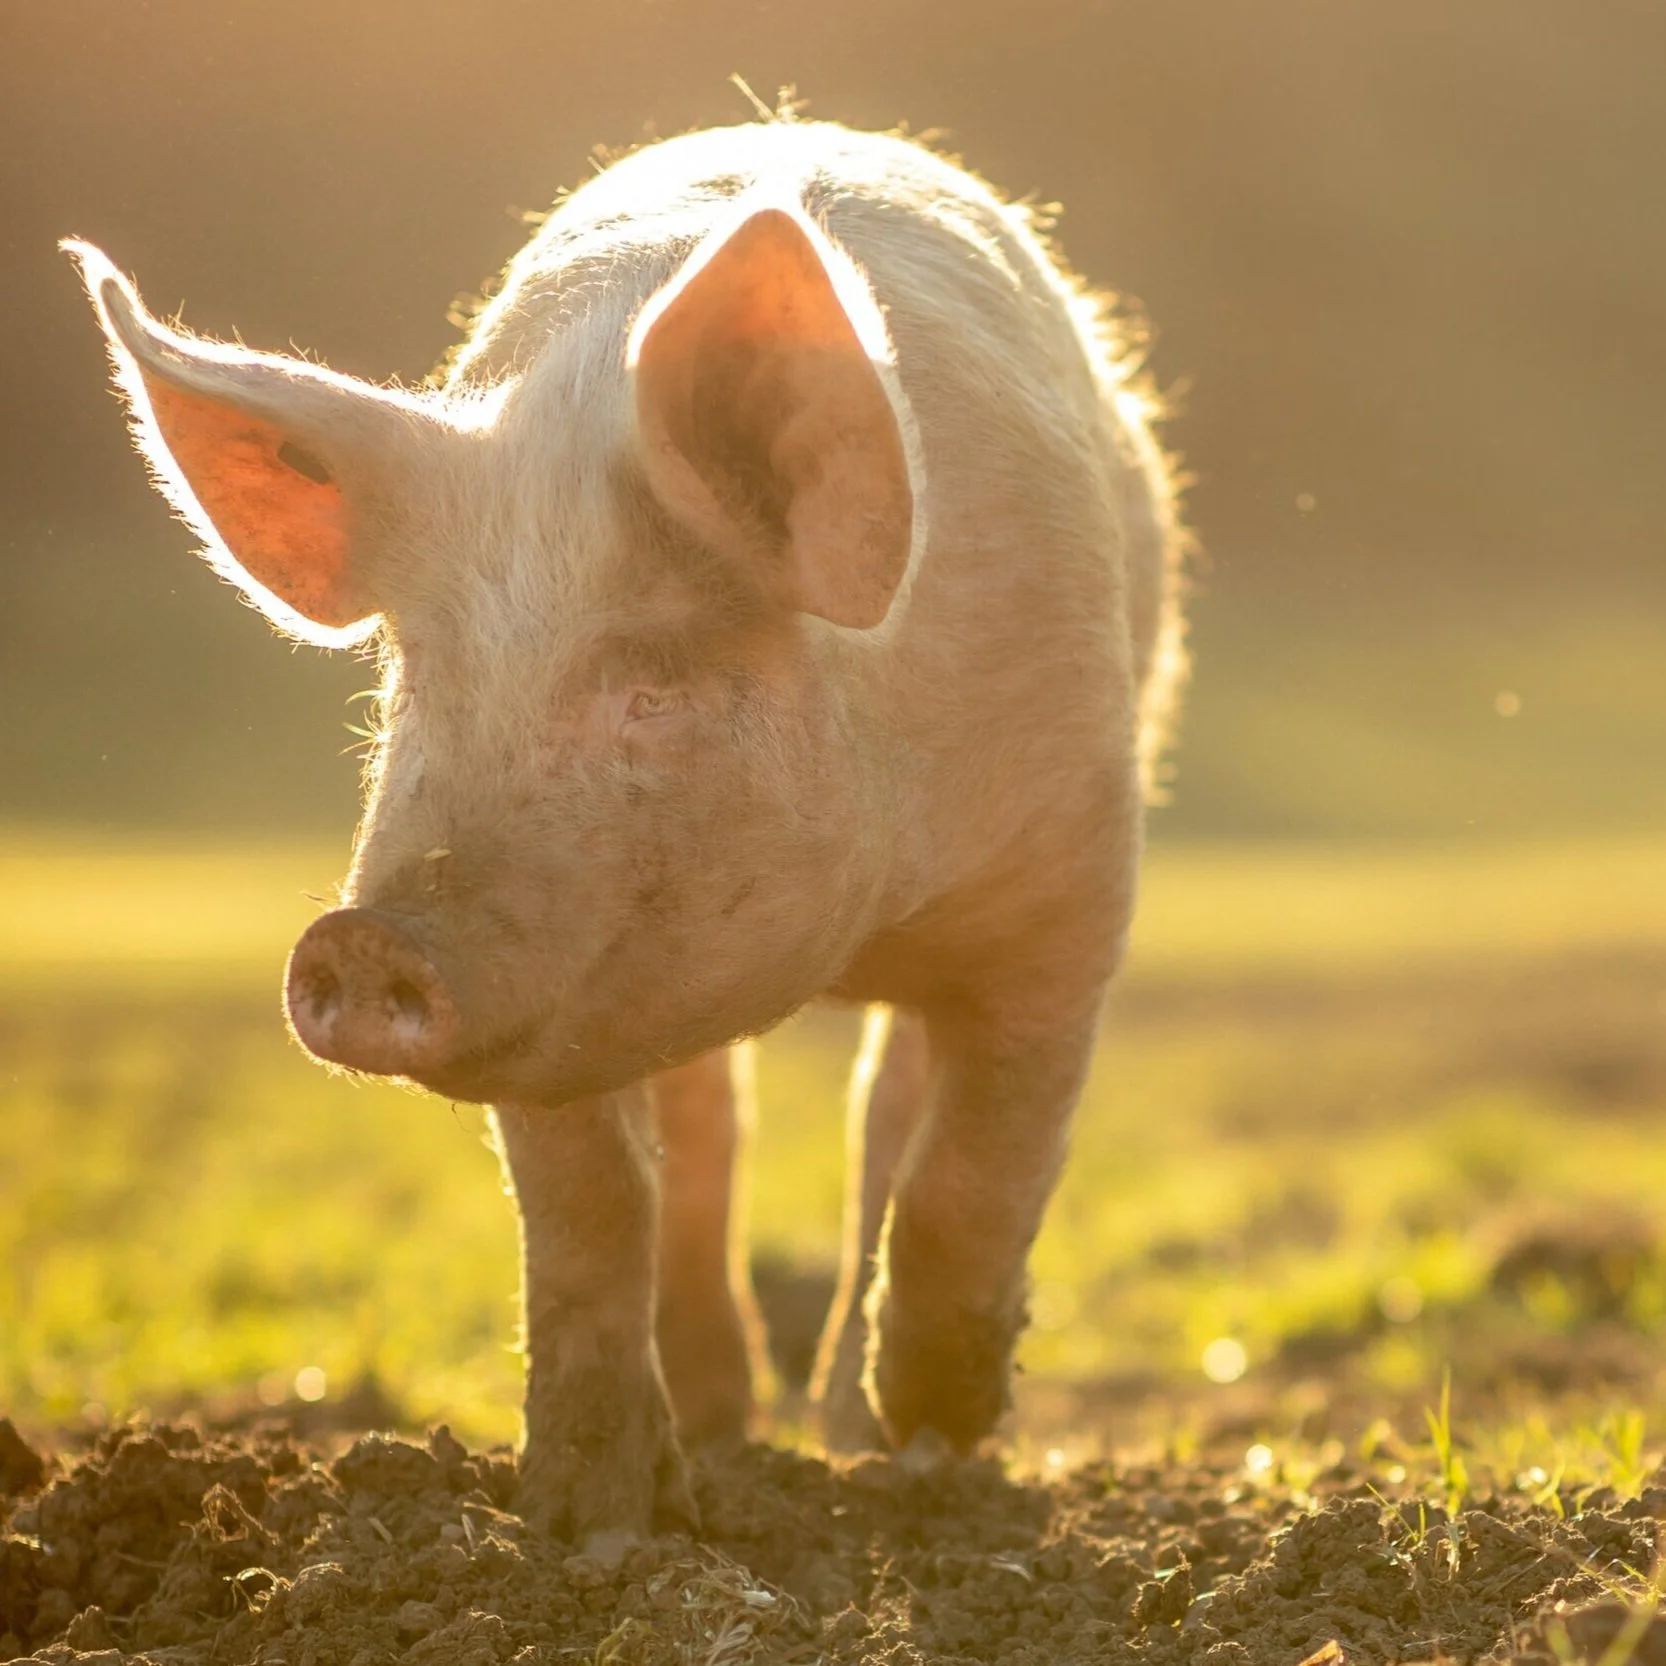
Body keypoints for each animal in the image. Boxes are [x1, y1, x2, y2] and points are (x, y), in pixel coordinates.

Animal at [69, 116, 1186, 1551]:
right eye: (418, 674)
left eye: (650, 686)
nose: (363, 938)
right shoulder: (552, 987)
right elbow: (592, 1207)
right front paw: (582, 1521)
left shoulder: (1071, 876)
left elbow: (980, 1151)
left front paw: (938, 1429)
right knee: (709, 1134)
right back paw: (720, 1425)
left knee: (881, 1110)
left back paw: (859, 1435)